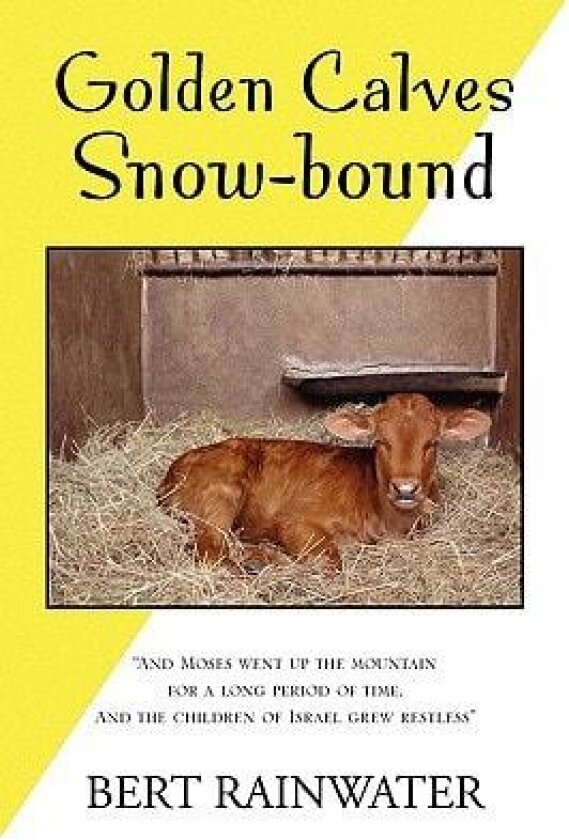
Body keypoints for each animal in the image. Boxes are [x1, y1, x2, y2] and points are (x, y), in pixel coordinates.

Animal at [157, 393, 491, 574]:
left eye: (432, 443)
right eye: (381, 442)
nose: (405, 488)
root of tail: (173, 469)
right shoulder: (296, 521)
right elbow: (332, 563)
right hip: (219, 495)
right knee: (212, 552)